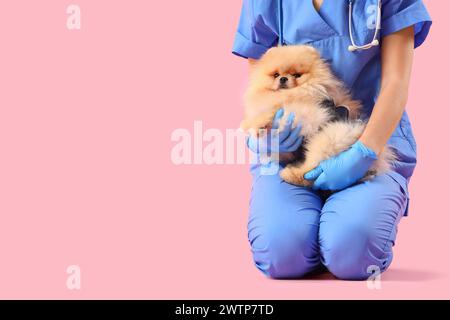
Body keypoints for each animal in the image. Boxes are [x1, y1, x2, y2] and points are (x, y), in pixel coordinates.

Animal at [241, 44, 396, 185]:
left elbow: (275, 113)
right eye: (276, 75)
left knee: (311, 171)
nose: (283, 79)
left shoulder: (307, 113)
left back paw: (292, 174)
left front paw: (257, 125)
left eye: (297, 75)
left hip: (331, 137)